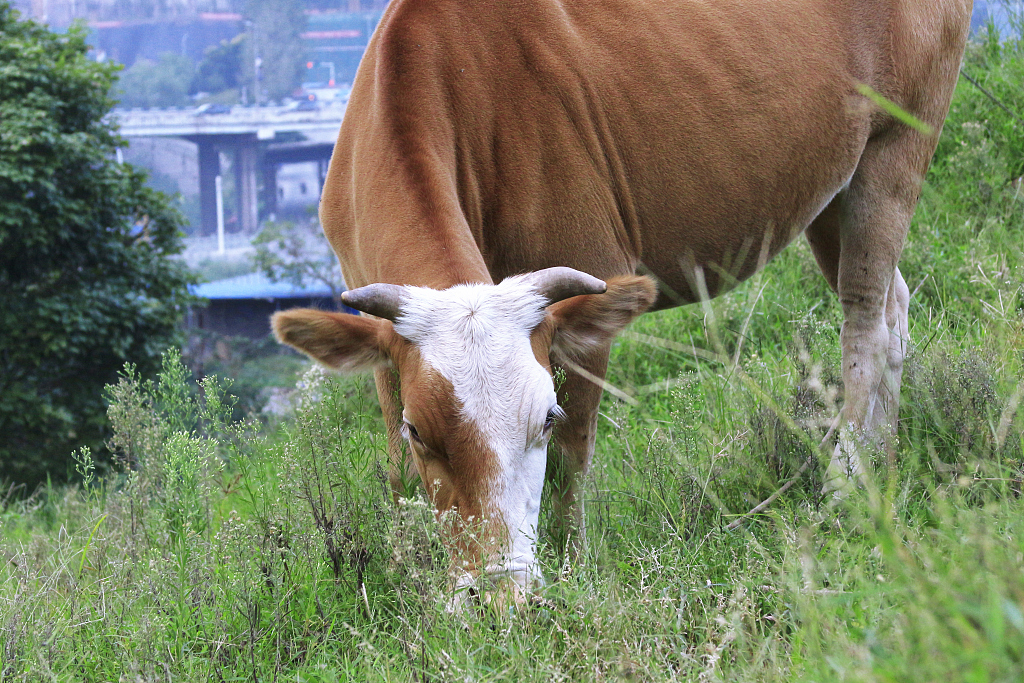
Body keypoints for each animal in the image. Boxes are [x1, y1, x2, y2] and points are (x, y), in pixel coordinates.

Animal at [274, 0, 974, 602]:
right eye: (422, 430)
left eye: (543, 419)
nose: (501, 595)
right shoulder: (379, 335)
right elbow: (395, 471)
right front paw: (404, 569)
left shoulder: (586, 289)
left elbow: (571, 461)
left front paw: (571, 565)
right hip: (832, 187)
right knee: (892, 307)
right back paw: (885, 461)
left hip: (899, 140)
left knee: (865, 320)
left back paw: (846, 485)